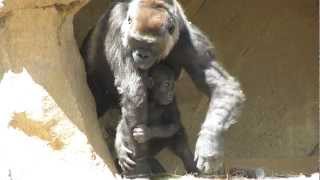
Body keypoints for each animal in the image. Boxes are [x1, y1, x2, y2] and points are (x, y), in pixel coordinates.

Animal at [80, 0, 245, 175]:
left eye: (151, 45)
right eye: (137, 41)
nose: (142, 55)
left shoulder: (186, 34)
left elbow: (220, 83)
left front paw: (209, 145)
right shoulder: (118, 24)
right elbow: (134, 91)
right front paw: (138, 168)